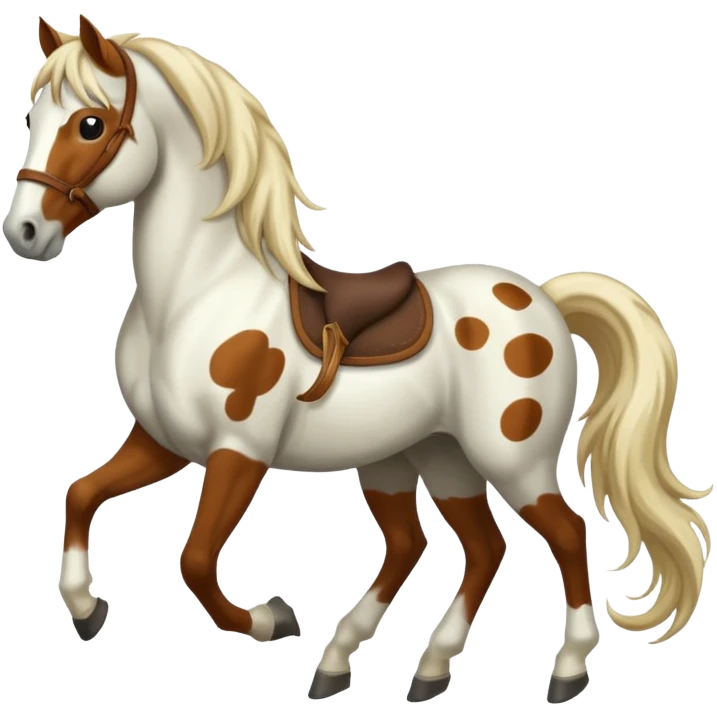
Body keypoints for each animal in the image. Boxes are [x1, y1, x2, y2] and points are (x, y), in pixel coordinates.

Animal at [4, 15, 710, 705]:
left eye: (89, 123)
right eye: (32, 117)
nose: (24, 234)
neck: (197, 291)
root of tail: (545, 300)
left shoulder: (239, 450)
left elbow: (197, 561)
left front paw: (273, 617)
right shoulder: (162, 441)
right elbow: (80, 495)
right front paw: (86, 609)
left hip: (512, 457)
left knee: (563, 533)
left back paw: (565, 670)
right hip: (423, 458)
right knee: (454, 546)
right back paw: (394, 666)